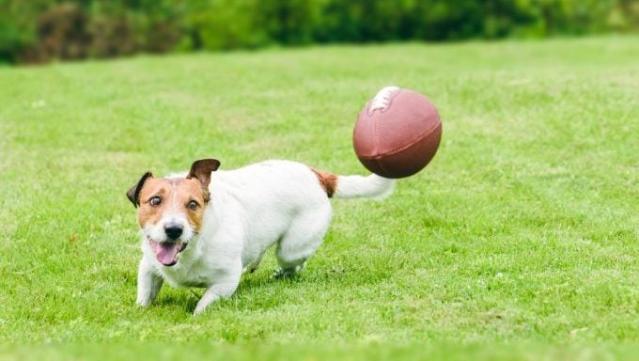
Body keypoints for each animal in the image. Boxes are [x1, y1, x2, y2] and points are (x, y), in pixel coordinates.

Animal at [127, 159, 392, 314]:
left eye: (193, 204)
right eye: (155, 200)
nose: (173, 229)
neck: (193, 248)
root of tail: (317, 175)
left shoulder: (225, 281)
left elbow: (204, 304)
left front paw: (195, 316)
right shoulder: (148, 266)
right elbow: (145, 292)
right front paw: (140, 310)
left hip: (291, 248)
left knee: (294, 262)